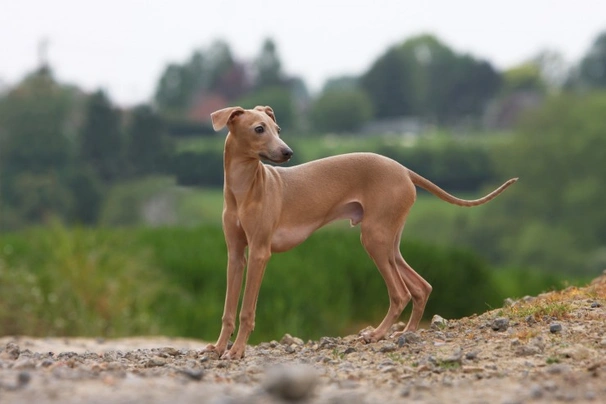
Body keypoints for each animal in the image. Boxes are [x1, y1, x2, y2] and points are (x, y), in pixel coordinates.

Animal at [204, 105, 516, 358]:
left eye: (277, 129)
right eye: (259, 129)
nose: (288, 152)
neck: (244, 190)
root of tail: (404, 170)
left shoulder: (260, 253)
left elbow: (247, 310)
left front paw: (237, 351)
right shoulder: (236, 256)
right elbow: (228, 309)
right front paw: (219, 347)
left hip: (374, 239)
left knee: (401, 293)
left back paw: (377, 334)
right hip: (388, 242)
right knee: (421, 287)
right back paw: (407, 332)